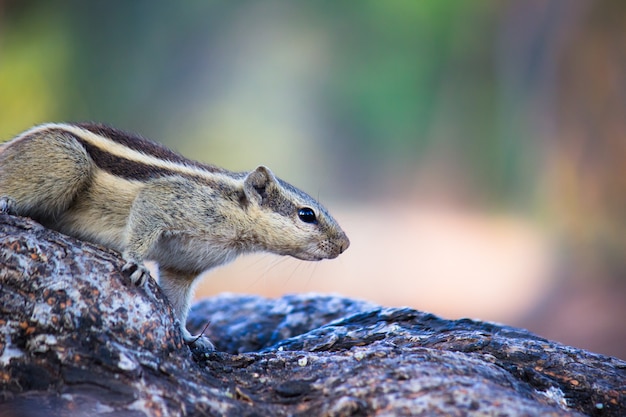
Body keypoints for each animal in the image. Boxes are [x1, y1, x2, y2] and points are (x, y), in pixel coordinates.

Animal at [0, 122, 352, 348]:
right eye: (307, 215)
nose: (345, 245)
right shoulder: (168, 199)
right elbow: (146, 213)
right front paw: (136, 262)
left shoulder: (184, 265)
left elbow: (177, 300)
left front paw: (188, 336)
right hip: (67, 161)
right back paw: (6, 202)